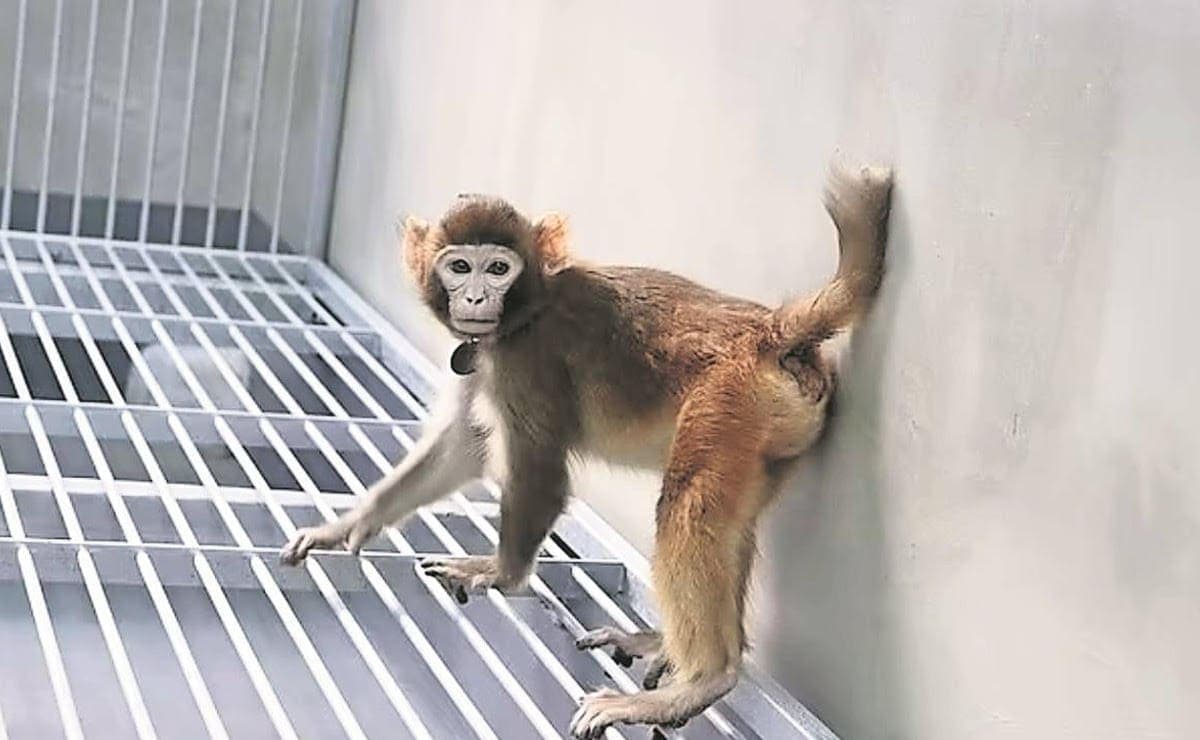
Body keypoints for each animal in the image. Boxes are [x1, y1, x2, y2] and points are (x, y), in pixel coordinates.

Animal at [279, 164, 893, 737]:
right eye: (459, 267)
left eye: (497, 268)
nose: (475, 297)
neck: (529, 308)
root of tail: (770, 332)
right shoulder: (486, 357)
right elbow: (462, 447)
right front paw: (349, 524)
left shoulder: (528, 362)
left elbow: (541, 472)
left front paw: (501, 573)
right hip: (770, 428)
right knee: (726, 521)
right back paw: (673, 648)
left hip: (730, 400)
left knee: (689, 509)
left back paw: (702, 679)